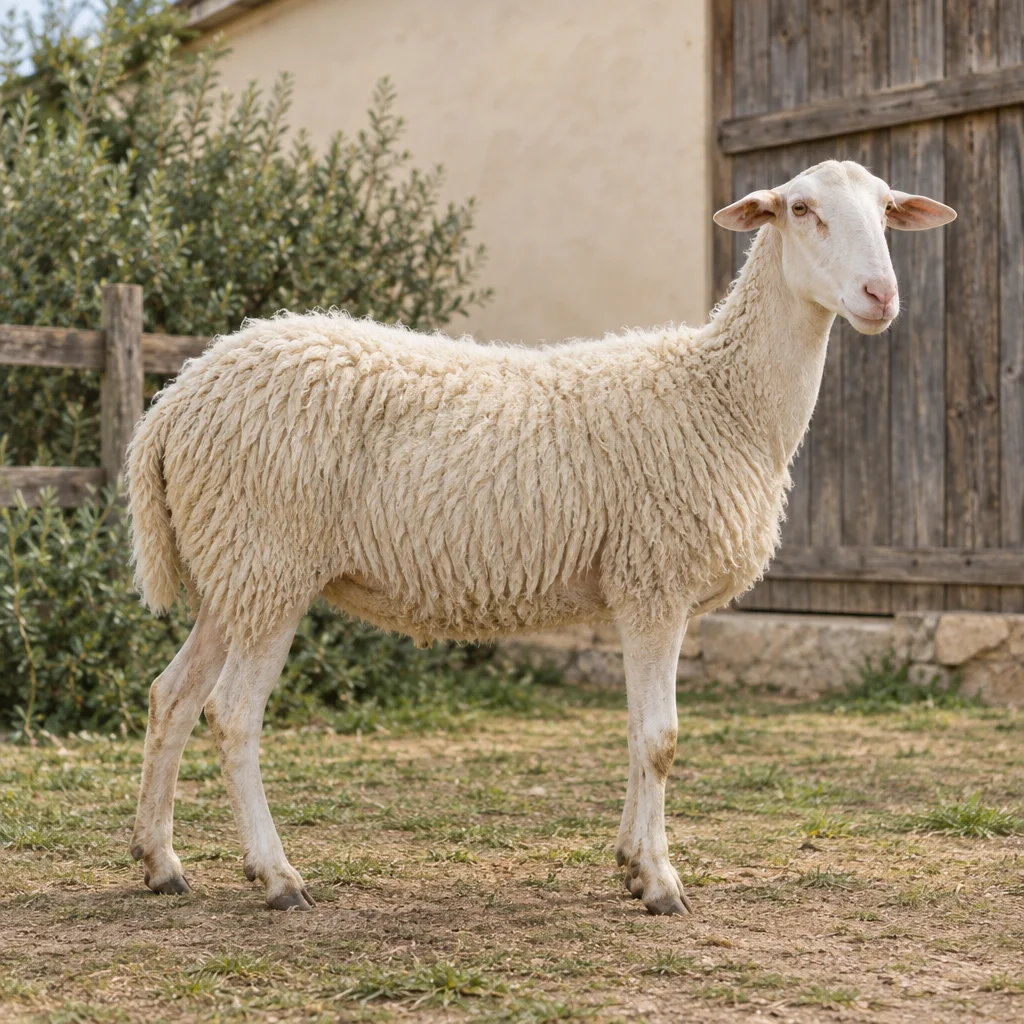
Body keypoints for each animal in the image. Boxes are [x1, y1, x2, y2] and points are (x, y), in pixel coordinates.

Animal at [126, 160, 956, 916]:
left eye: (887, 209)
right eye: (801, 209)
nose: (880, 296)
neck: (724, 397)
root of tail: (177, 397)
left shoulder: (640, 589)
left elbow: (637, 734)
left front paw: (630, 864)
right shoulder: (655, 579)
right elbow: (661, 738)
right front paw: (661, 883)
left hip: (232, 570)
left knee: (171, 696)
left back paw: (160, 862)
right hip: (270, 561)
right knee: (233, 714)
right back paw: (276, 877)